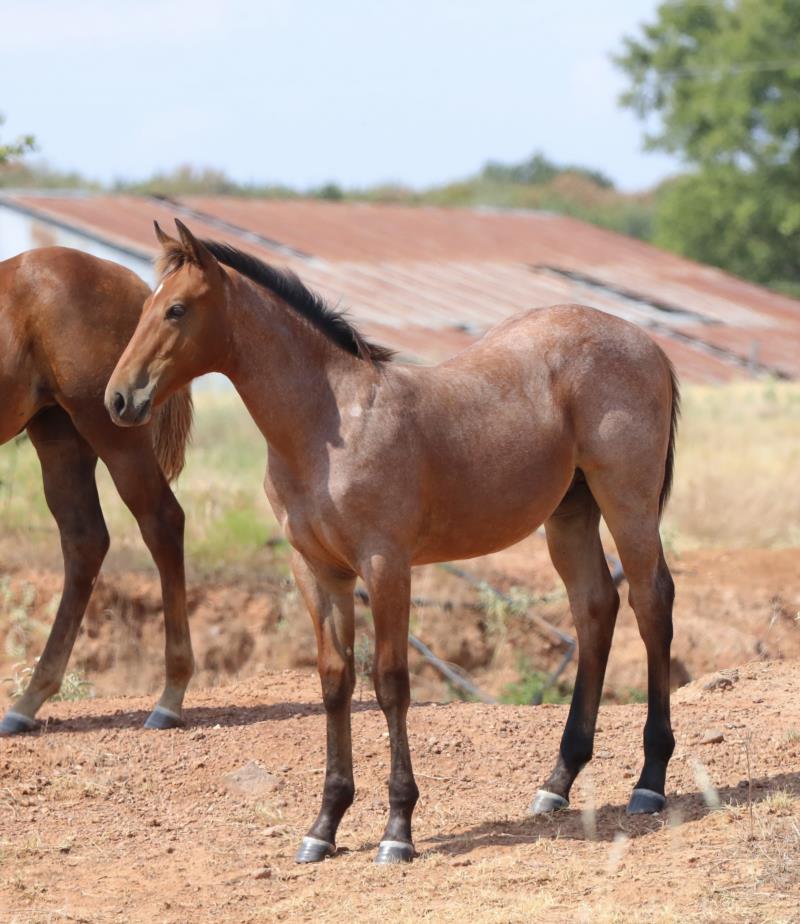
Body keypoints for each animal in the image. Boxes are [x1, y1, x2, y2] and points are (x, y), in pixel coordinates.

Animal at [0, 247, 194, 735]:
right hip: (59, 439)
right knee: (85, 541)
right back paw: (29, 700)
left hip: (113, 431)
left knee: (162, 522)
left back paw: (170, 697)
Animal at [107, 219, 679, 864]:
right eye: (145, 307)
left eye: (176, 309)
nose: (119, 399)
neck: (328, 426)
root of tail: (647, 343)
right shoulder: (318, 571)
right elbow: (336, 682)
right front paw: (323, 826)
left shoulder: (386, 565)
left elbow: (390, 682)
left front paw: (397, 830)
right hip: (570, 513)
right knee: (594, 608)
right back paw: (557, 782)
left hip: (627, 502)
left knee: (651, 603)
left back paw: (649, 782)